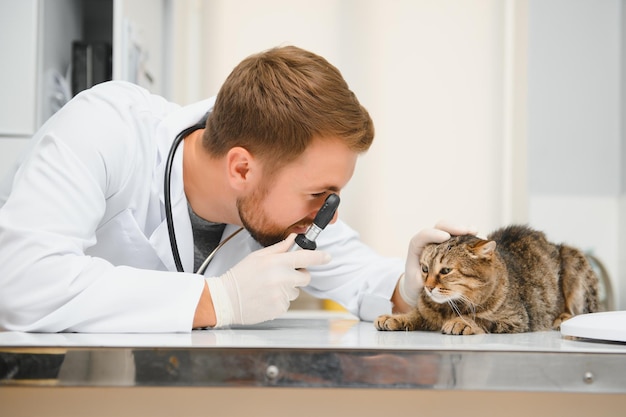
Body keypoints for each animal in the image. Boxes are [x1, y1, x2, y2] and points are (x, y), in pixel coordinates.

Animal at [372, 224, 596, 334]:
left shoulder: (517, 318)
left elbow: (481, 318)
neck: (450, 307)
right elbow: (413, 314)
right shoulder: (425, 311)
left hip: (573, 259)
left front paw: (462, 322)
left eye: (445, 270)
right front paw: (394, 317)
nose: (428, 288)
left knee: (585, 310)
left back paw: (563, 318)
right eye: (425, 269)